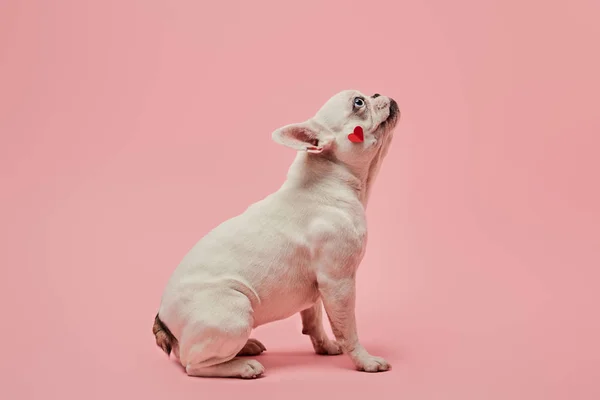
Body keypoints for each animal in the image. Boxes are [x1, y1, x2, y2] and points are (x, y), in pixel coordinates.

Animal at [152, 90, 400, 378]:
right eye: (358, 103)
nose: (376, 93)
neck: (328, 179)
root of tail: (163, 319)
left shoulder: (318, 287)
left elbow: (314, 320)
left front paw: (325, 346)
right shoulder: (339, 283)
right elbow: (347, 329)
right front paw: (365, 360)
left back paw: (246, 348)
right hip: (237, 309)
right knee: (194, 364)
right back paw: (243, 366)